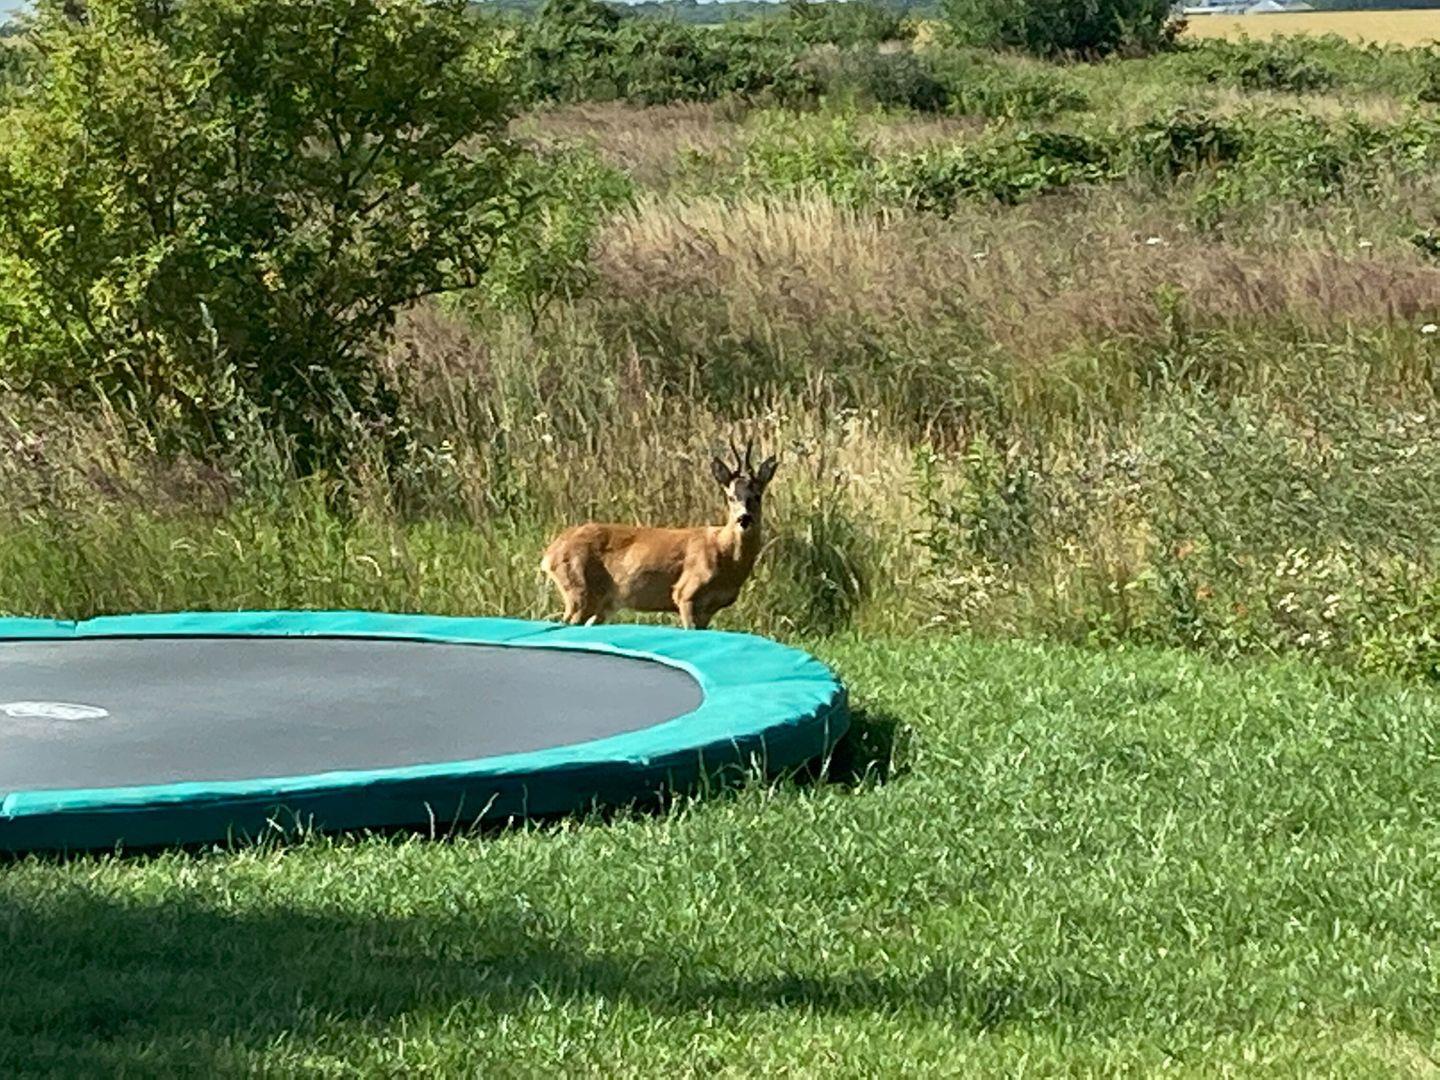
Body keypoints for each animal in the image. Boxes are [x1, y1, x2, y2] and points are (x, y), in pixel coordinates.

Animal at [541, 439, 778, 630]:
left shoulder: (708, 609)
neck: (726, 554)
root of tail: (550, 553)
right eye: (730, 497)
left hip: (603, 602)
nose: (744, 518)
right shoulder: (686, 593)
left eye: (757, 496)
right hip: (579, 588)